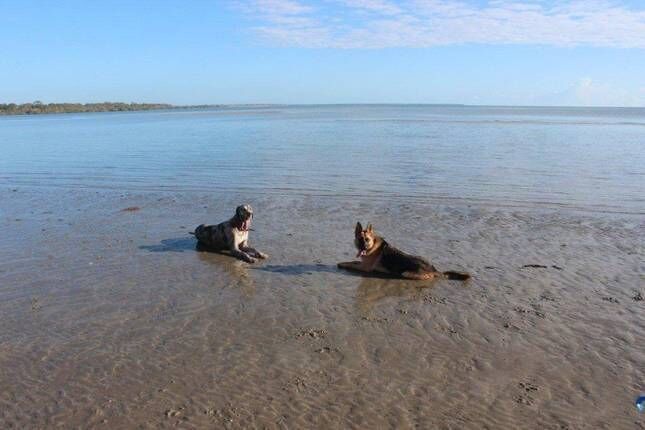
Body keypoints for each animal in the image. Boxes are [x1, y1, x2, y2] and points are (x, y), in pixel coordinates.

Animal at [338, 222, 468, 282]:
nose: (363, 248)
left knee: (429, 277)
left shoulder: (365, 267)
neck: (373, 245)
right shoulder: (363, 263)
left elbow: (350, 264)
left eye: (367, 240)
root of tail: (434, 269)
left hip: (407, 273)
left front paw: (341, 264)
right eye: (360, 240)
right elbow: (352, 261)